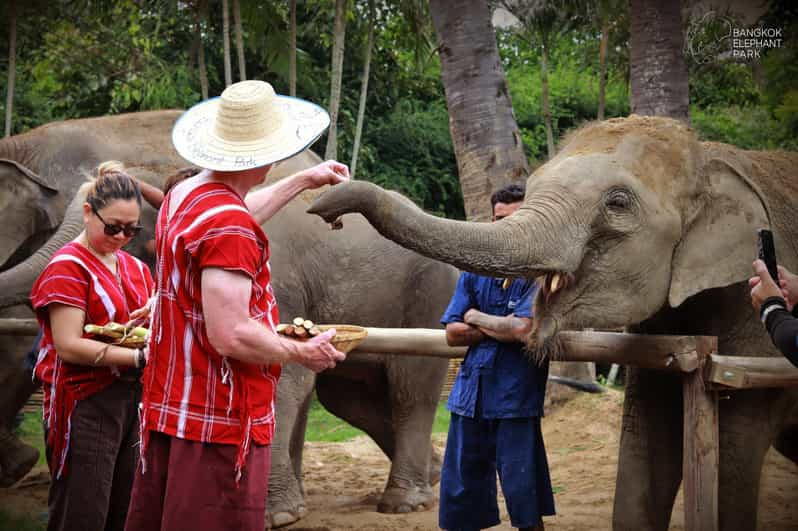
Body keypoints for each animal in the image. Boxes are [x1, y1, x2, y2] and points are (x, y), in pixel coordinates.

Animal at [0, 110, 460, 520]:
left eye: (128, 231)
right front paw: (287, 509)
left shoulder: (280, 277)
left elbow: (285, 376)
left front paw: (277, 516)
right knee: (350, 398)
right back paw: (431, 477)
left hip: (429, 294)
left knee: (409, 392)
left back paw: (405, 502)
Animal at [310, 116, 798, 531]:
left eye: (617, 203)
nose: (325, 206)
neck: (710, 158)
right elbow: (647, 440)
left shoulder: (746, 327)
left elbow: (731, 447)